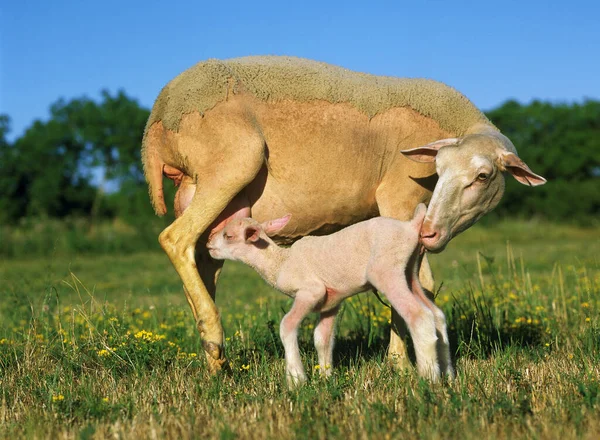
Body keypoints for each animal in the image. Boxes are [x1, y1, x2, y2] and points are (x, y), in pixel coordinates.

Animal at [204, 204, 452, 384]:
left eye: (228, 236)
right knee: (437, 315)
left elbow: (287, 325)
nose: (208, 244)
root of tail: (409, 227)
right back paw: (448, 374)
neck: (280, 263)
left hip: (387, 270)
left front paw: (296, 378)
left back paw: (429, 378)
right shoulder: (332, 301)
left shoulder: (311, 291)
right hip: (410, 271)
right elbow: (321, 338)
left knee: (419, 316)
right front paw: (325, 377)